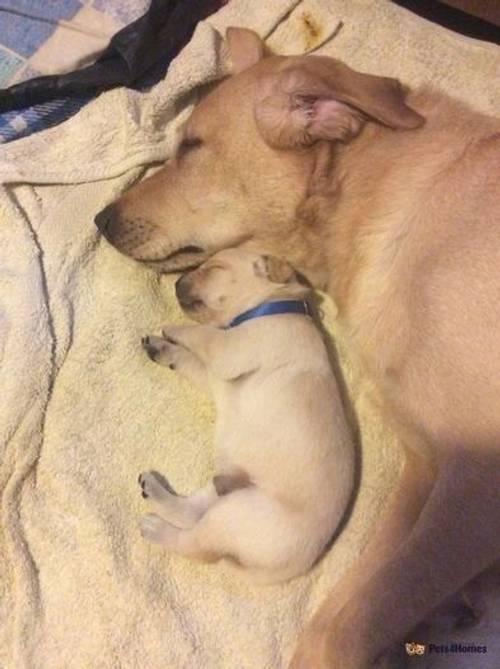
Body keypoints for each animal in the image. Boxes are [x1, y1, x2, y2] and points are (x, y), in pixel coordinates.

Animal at [139, 248, 354, 580]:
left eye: (215, 267)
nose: (175, 283)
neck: (269, 307)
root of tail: (289, 569)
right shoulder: (214, 377)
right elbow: (190, 360)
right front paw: (166, 348)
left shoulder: (230, 351)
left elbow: (204, 334)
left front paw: (174, 330)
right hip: (223, 494)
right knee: (190, 513)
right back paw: (153, 490)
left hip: (236, 515)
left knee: (194, 545)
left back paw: (154, 529)